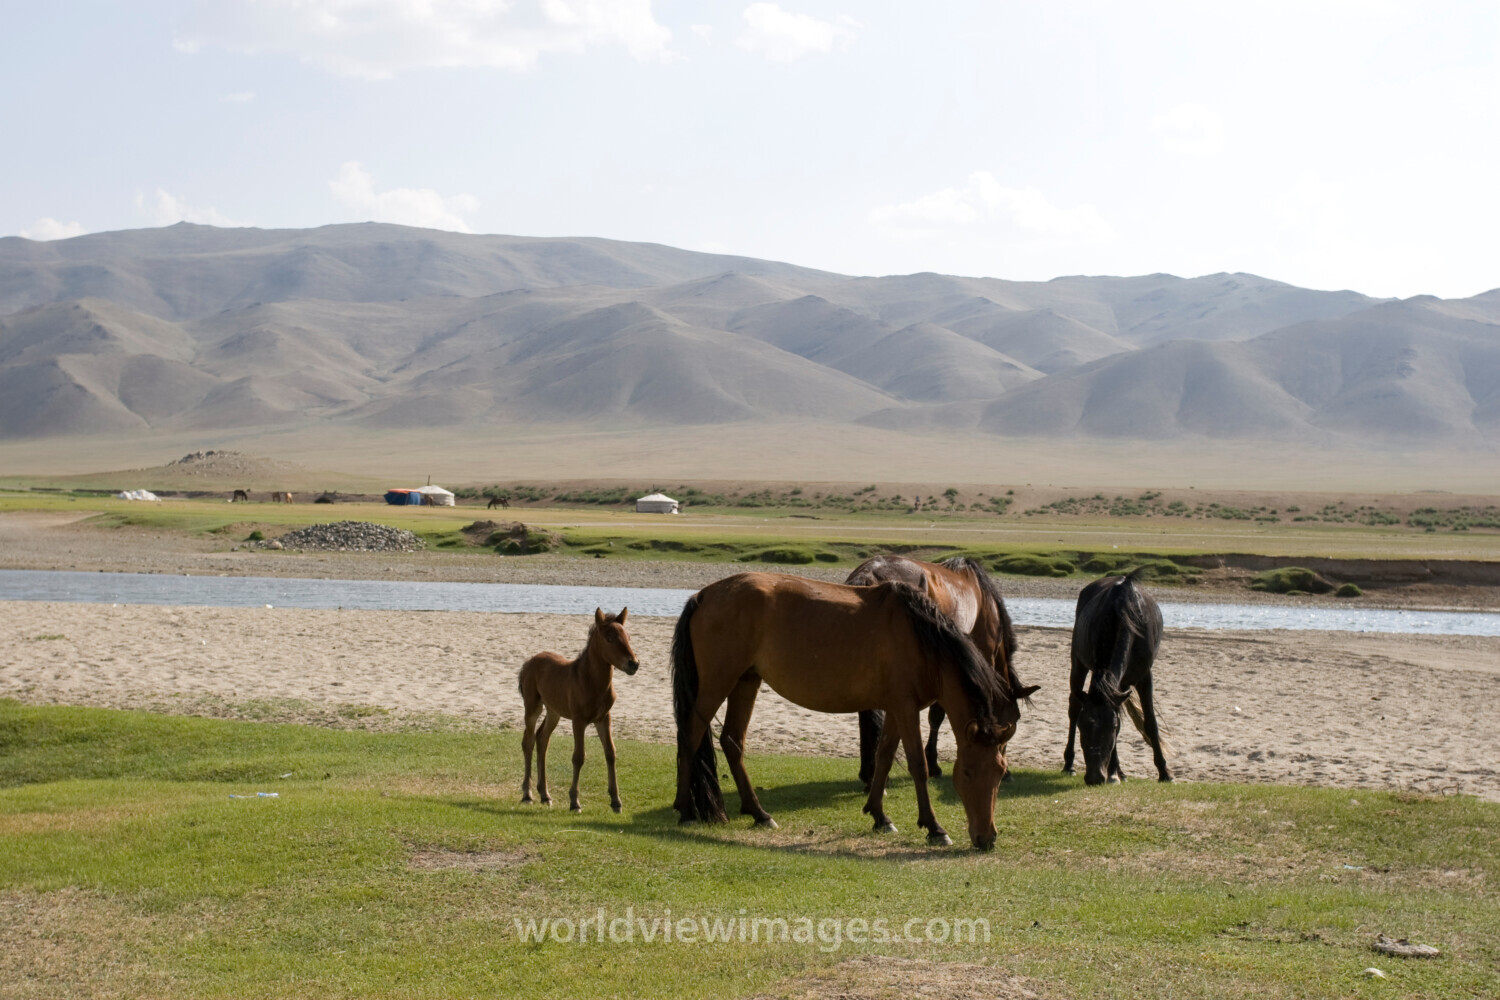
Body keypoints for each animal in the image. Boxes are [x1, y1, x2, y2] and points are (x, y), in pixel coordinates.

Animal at [519, 608, 640, 813]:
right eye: (609, 639)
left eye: (628, 637)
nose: (634, 663)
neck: (592, 682)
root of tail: (529, 661)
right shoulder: (578, 720)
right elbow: (578, 757)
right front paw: (574, 802)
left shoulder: (603, 718)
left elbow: (611, 753)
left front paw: (616, 801)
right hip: (532, 706)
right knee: (528, 742)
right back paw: (528, 795)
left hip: (554, 711)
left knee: (542, 739)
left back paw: (545, 795)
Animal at [847, 555, 1024, 786]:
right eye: (1014, 719)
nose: (1004, 769)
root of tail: (868, 574)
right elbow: (937, 716)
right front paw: (933, 764)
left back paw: (868, 772)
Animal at [1063, 570, 1173, 785]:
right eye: (1082, 726)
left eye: (1111, 727)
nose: (1094, 777)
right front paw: (1113, 772)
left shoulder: (1144, 677)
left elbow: (1150, 723)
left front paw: (1164, 772)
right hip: (1078, 663)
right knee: (1073, 706)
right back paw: (1070, 764)